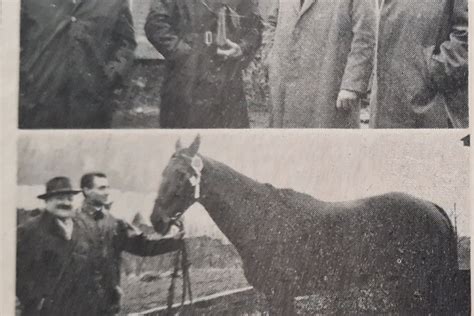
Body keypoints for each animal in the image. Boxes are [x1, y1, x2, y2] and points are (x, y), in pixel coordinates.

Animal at [150, 136, 458, 316]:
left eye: (182, 174)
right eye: (162, 173)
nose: (157, 220)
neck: (261, 218)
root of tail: (432, 207)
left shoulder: (281, 293)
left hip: (413, 286)